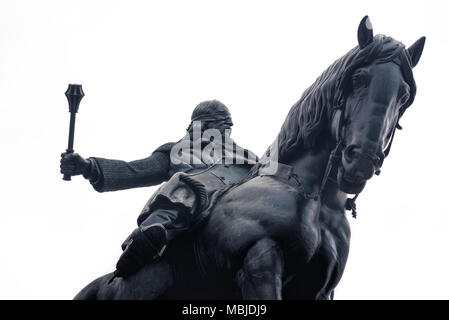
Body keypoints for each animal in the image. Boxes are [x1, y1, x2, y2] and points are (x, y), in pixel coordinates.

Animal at [75, 16, 426, 298]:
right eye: (358, 78)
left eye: (404, 94)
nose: (362, 159)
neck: (313, 197)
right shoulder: (259, 264)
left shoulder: (319, 288)